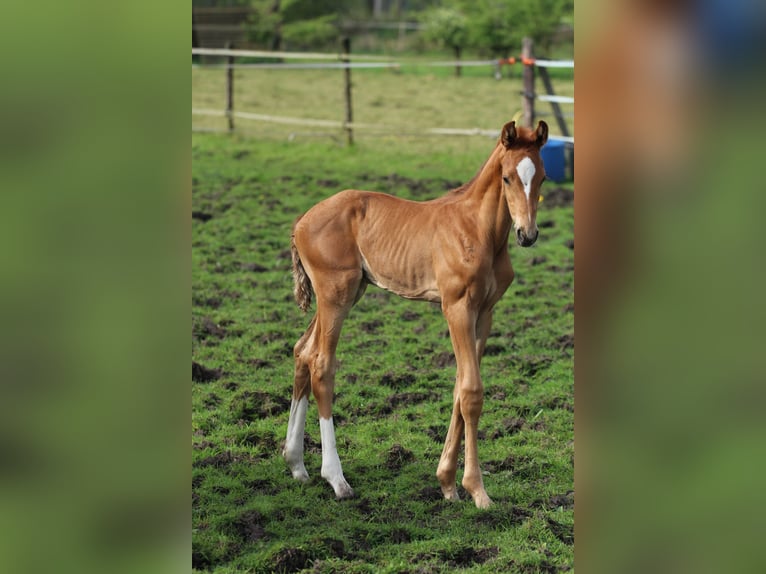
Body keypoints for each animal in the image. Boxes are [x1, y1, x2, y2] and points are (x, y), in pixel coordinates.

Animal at [284, 120, 548, 508]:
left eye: (542, 177)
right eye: (507, 178)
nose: (527, 234)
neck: (479, 231)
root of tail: (301, 220)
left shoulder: (485, 313)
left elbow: (459, 387)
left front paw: (448, 484)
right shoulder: (456, 307)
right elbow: (471, 391)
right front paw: (477, 490)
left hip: (346, 293)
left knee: (302, 351)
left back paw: (296, 464)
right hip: (336, 295)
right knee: (321, 364)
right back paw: (336, 479)